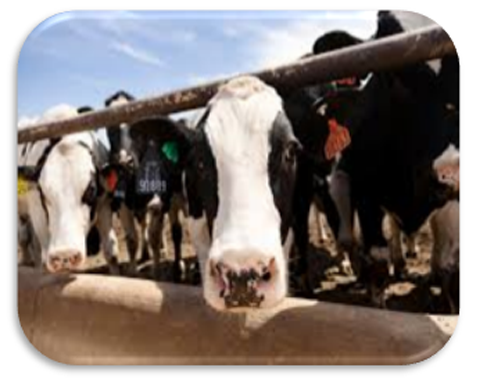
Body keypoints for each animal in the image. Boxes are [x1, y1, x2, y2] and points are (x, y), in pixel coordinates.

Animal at [17, 104, 120, 274]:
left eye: (91, 189)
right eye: (43, 193)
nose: (65, 254)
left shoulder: (105, 203)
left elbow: (110, 251)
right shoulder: (37, 210)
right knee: (24, 238)